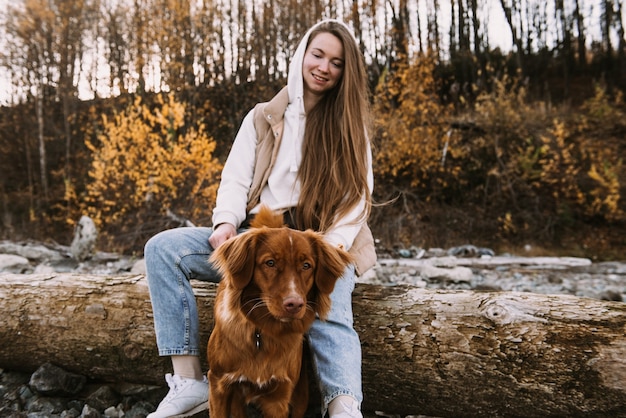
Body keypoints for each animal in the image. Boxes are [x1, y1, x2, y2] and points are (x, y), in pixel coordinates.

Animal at [206, 207, 348, 418]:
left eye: (306, 266)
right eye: (270, 263)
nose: (294, 304)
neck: (262, 333)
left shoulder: (279, 397)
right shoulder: (219, 385)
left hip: (300, 393)